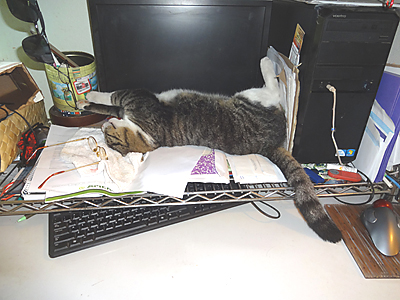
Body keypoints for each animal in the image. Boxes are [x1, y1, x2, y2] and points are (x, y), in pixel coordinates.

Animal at [79, 88, 344, 243]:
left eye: (110, 139)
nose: (104, 127)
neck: (150, 138)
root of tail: (272, 143)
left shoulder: (136, 101)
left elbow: (113, 97)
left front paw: (89, 98)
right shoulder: (137, 103)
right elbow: (114, 99)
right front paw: (89, 101)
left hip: (252, 99)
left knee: (274, 90)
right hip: (253, 99)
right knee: (273, 92)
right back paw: (268, 64)